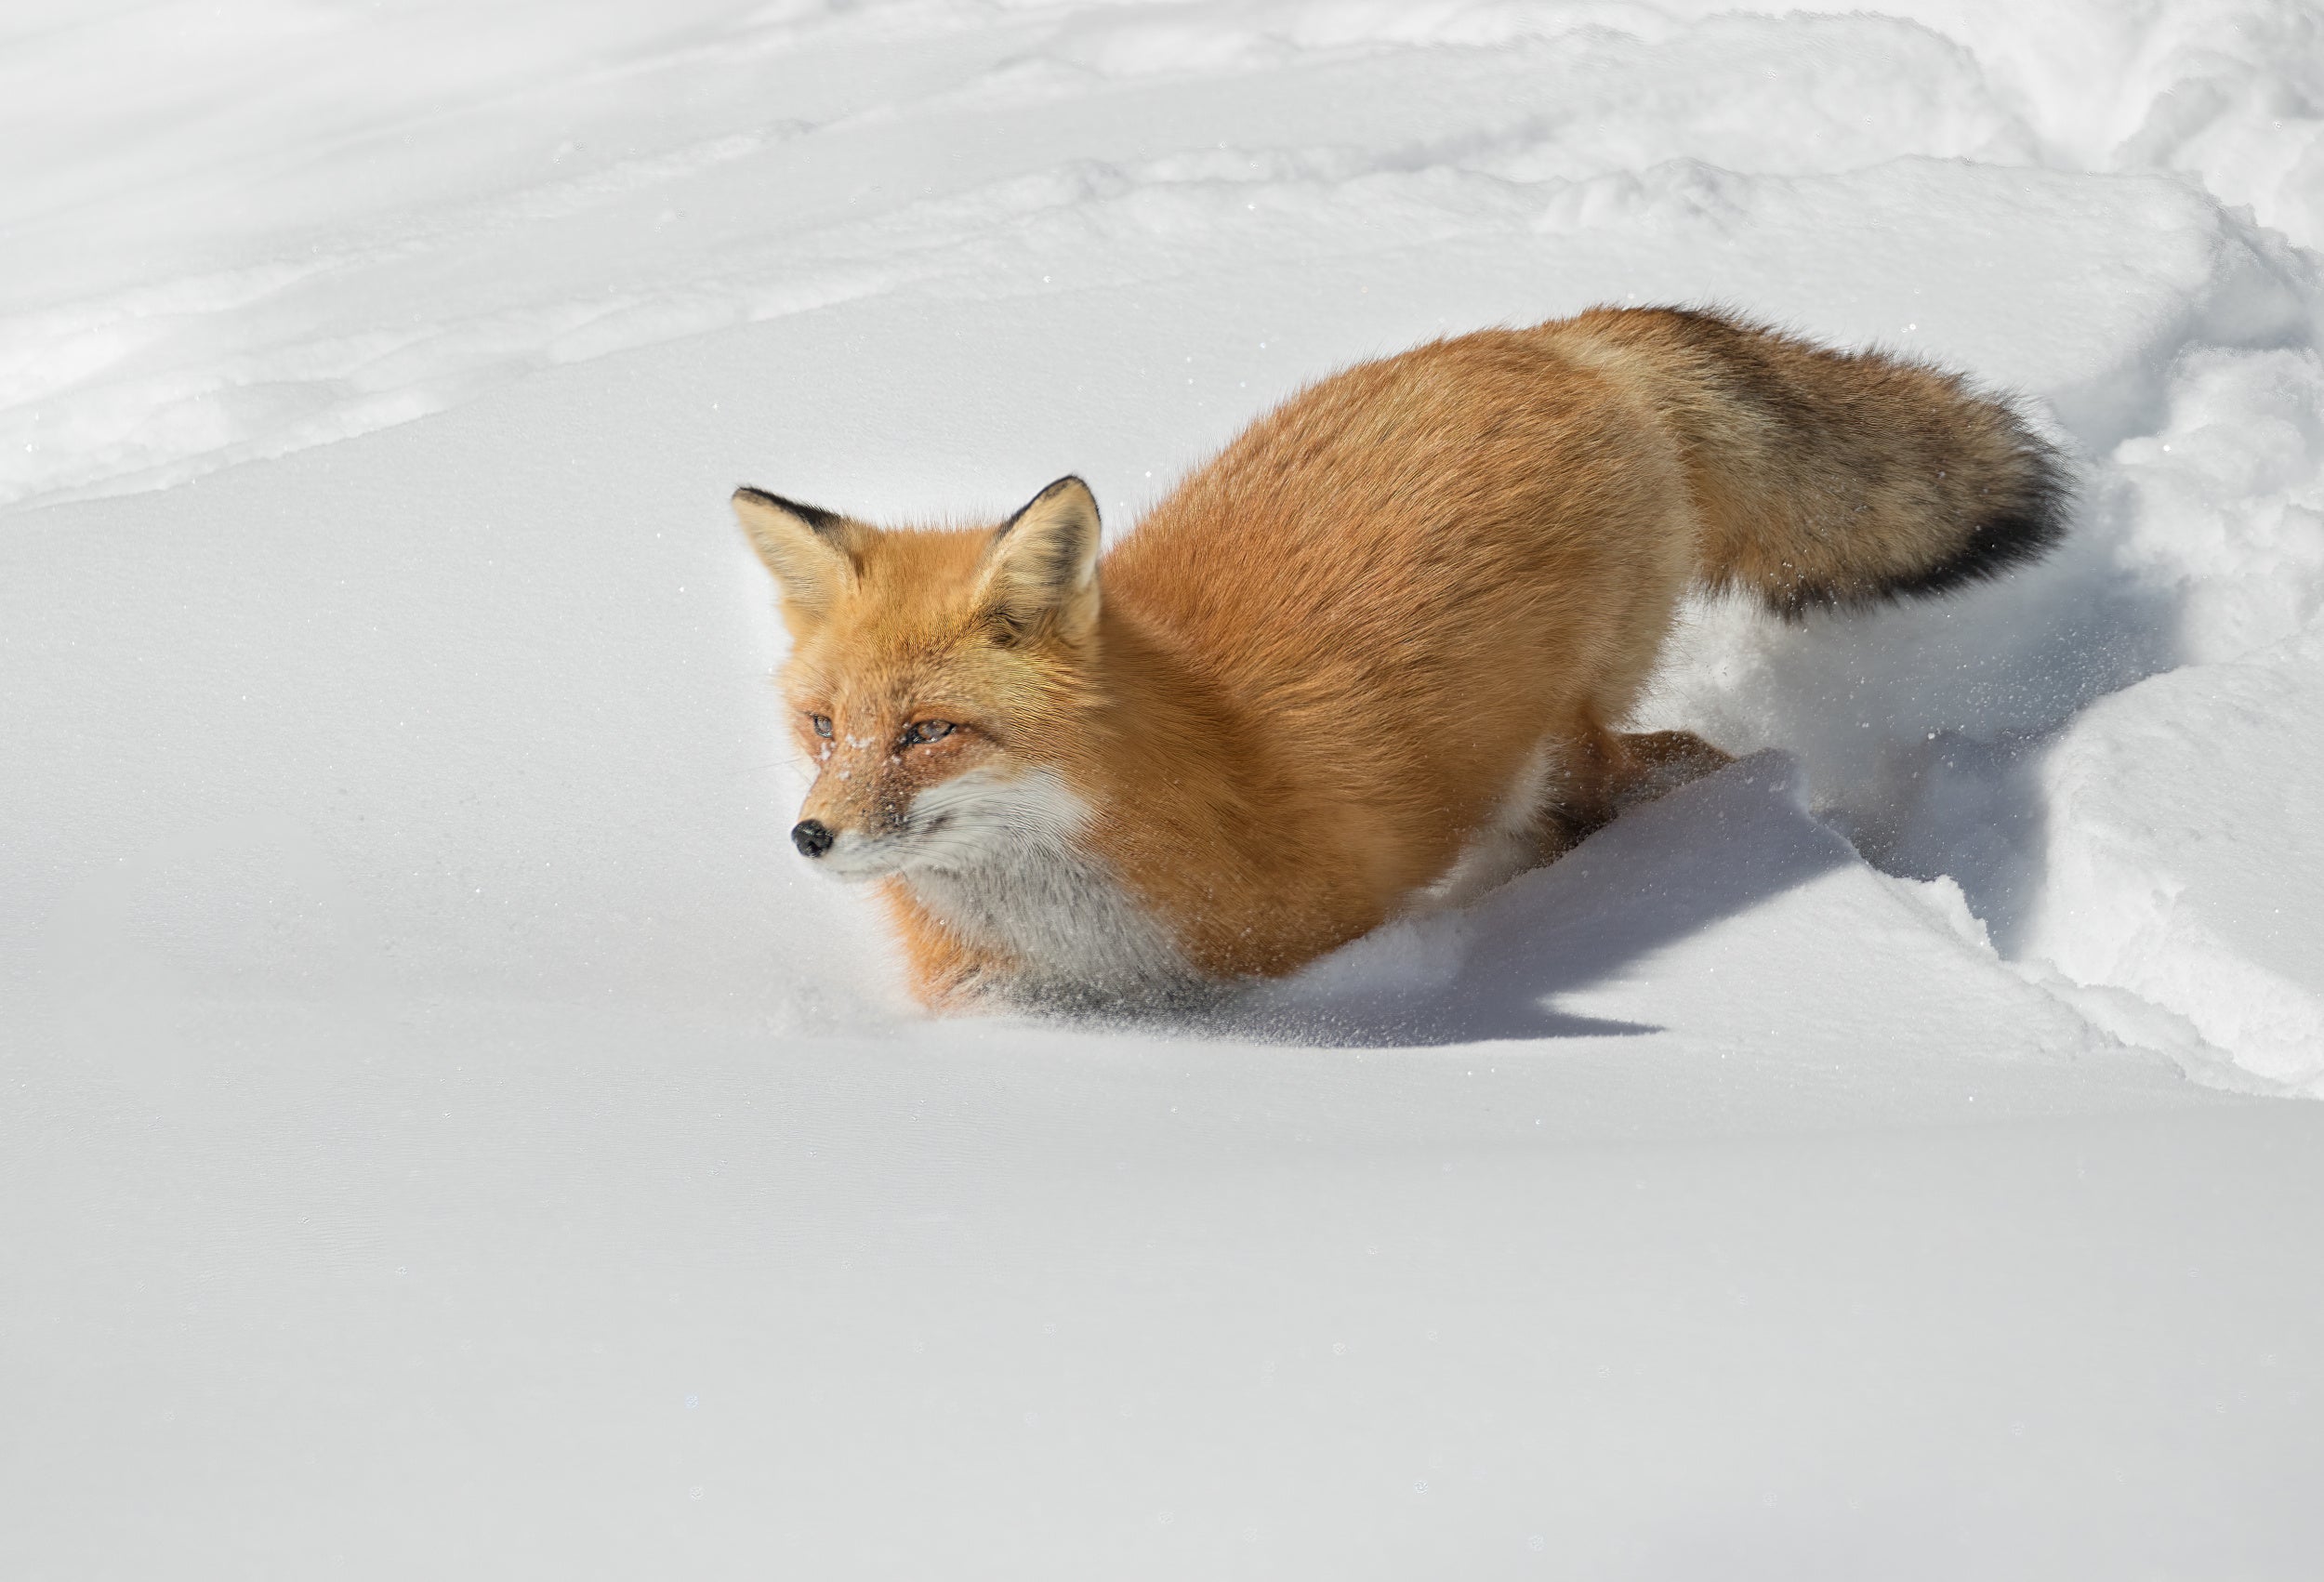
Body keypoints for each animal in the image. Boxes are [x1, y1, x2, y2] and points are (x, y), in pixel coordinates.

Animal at [734, 301, 2064, 1003]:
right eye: (825, 727)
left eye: (929, 731)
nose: (809, 836)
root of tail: (1551, 339)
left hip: (1560, 742)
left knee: (1659, 767)